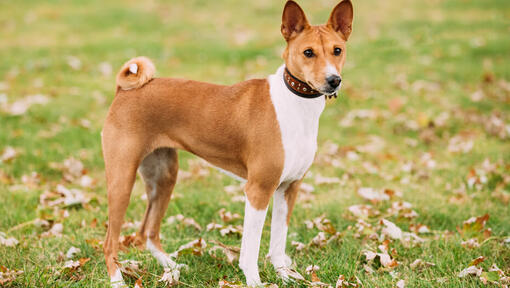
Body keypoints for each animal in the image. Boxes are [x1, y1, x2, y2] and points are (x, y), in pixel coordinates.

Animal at [101, 1, 352, 286]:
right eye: (308, 52)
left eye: (337, 50)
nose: (333, 80)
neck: (295, 104)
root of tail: (124, 91)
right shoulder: (258, 189)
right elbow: (251, 248)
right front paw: (254, 280)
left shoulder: (289, 187)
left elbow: (278, 242)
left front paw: (285, 275)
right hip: (122, 180)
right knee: (110, 242)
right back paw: (118, 279)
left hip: (163, 177)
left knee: (148, 233)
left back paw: (171, 267)